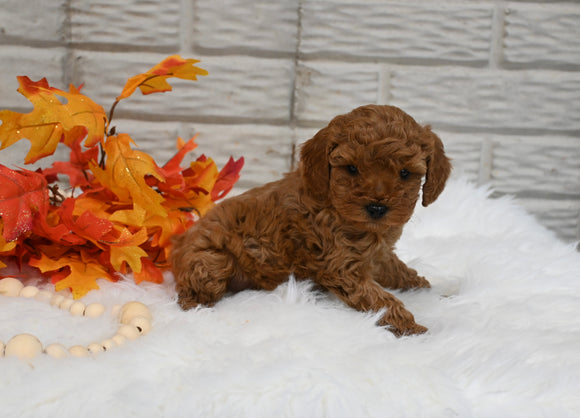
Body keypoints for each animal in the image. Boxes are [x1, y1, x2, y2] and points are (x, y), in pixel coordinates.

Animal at [170, 104, 450, 336]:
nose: (377, 207)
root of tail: (177, 243)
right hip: (212, 260)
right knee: (189, 292)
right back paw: (199, 307)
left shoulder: (378, 254)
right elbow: (379, 299)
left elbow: (396, 269)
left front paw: (421, 285)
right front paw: (409, 325)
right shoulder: (340, 265)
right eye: (352, 169)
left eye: (404, 173)